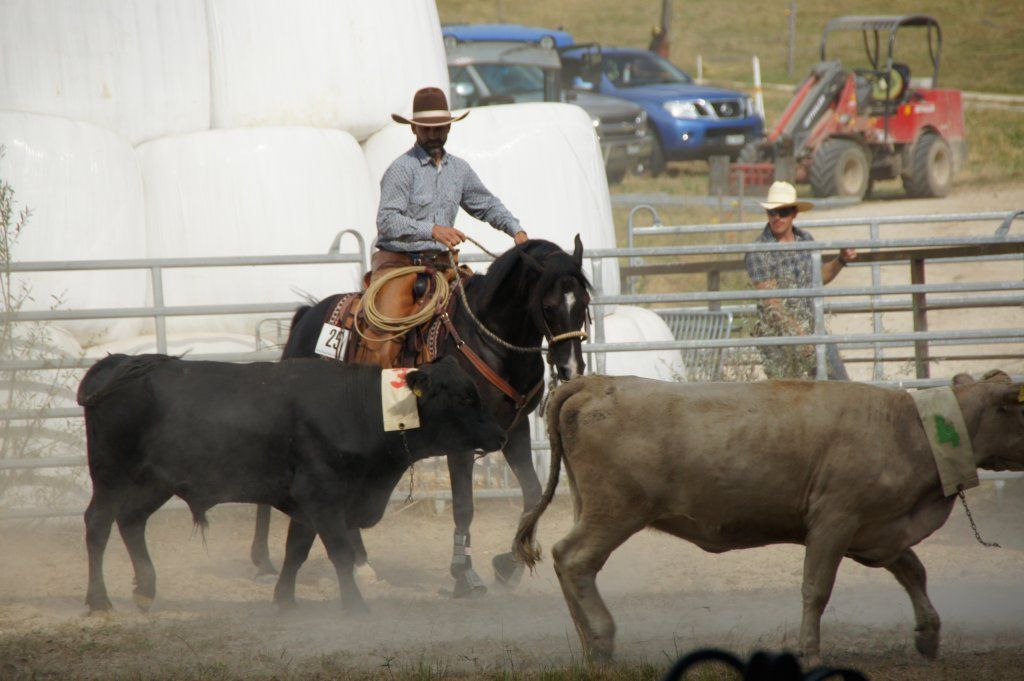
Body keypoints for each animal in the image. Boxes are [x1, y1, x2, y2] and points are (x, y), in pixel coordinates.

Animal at [250, 237, 591, 597]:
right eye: (549, 307)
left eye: (584, 303)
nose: (571, 368)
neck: (490, 342)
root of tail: (306, 318)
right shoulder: (461, 443)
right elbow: (464, 506)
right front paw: (464, 573)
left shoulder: (515, 430)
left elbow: (533, 493)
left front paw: (508, 566)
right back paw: (265, 564)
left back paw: (360, 563)